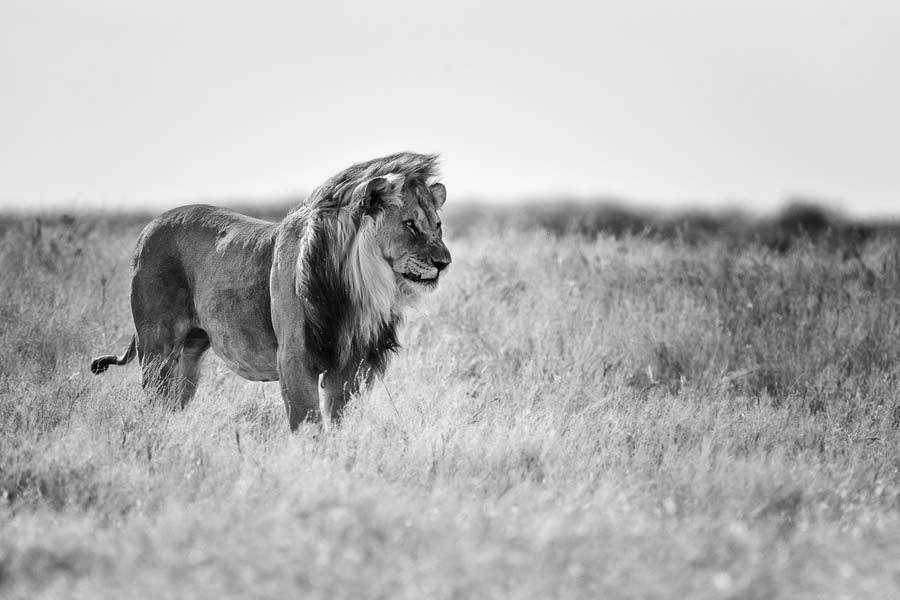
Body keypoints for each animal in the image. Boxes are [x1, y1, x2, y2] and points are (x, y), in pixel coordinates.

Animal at [91, 152, 450, 428]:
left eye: (437, 225)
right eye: (409, 224)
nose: (444, 262)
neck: (361, 286)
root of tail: (150, 226)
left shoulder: (351, 365)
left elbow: (337, 423)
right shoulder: (294, 358)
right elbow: (308, 424)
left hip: (189, 356)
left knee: (172, 403)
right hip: (157, 348)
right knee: (154, 402)